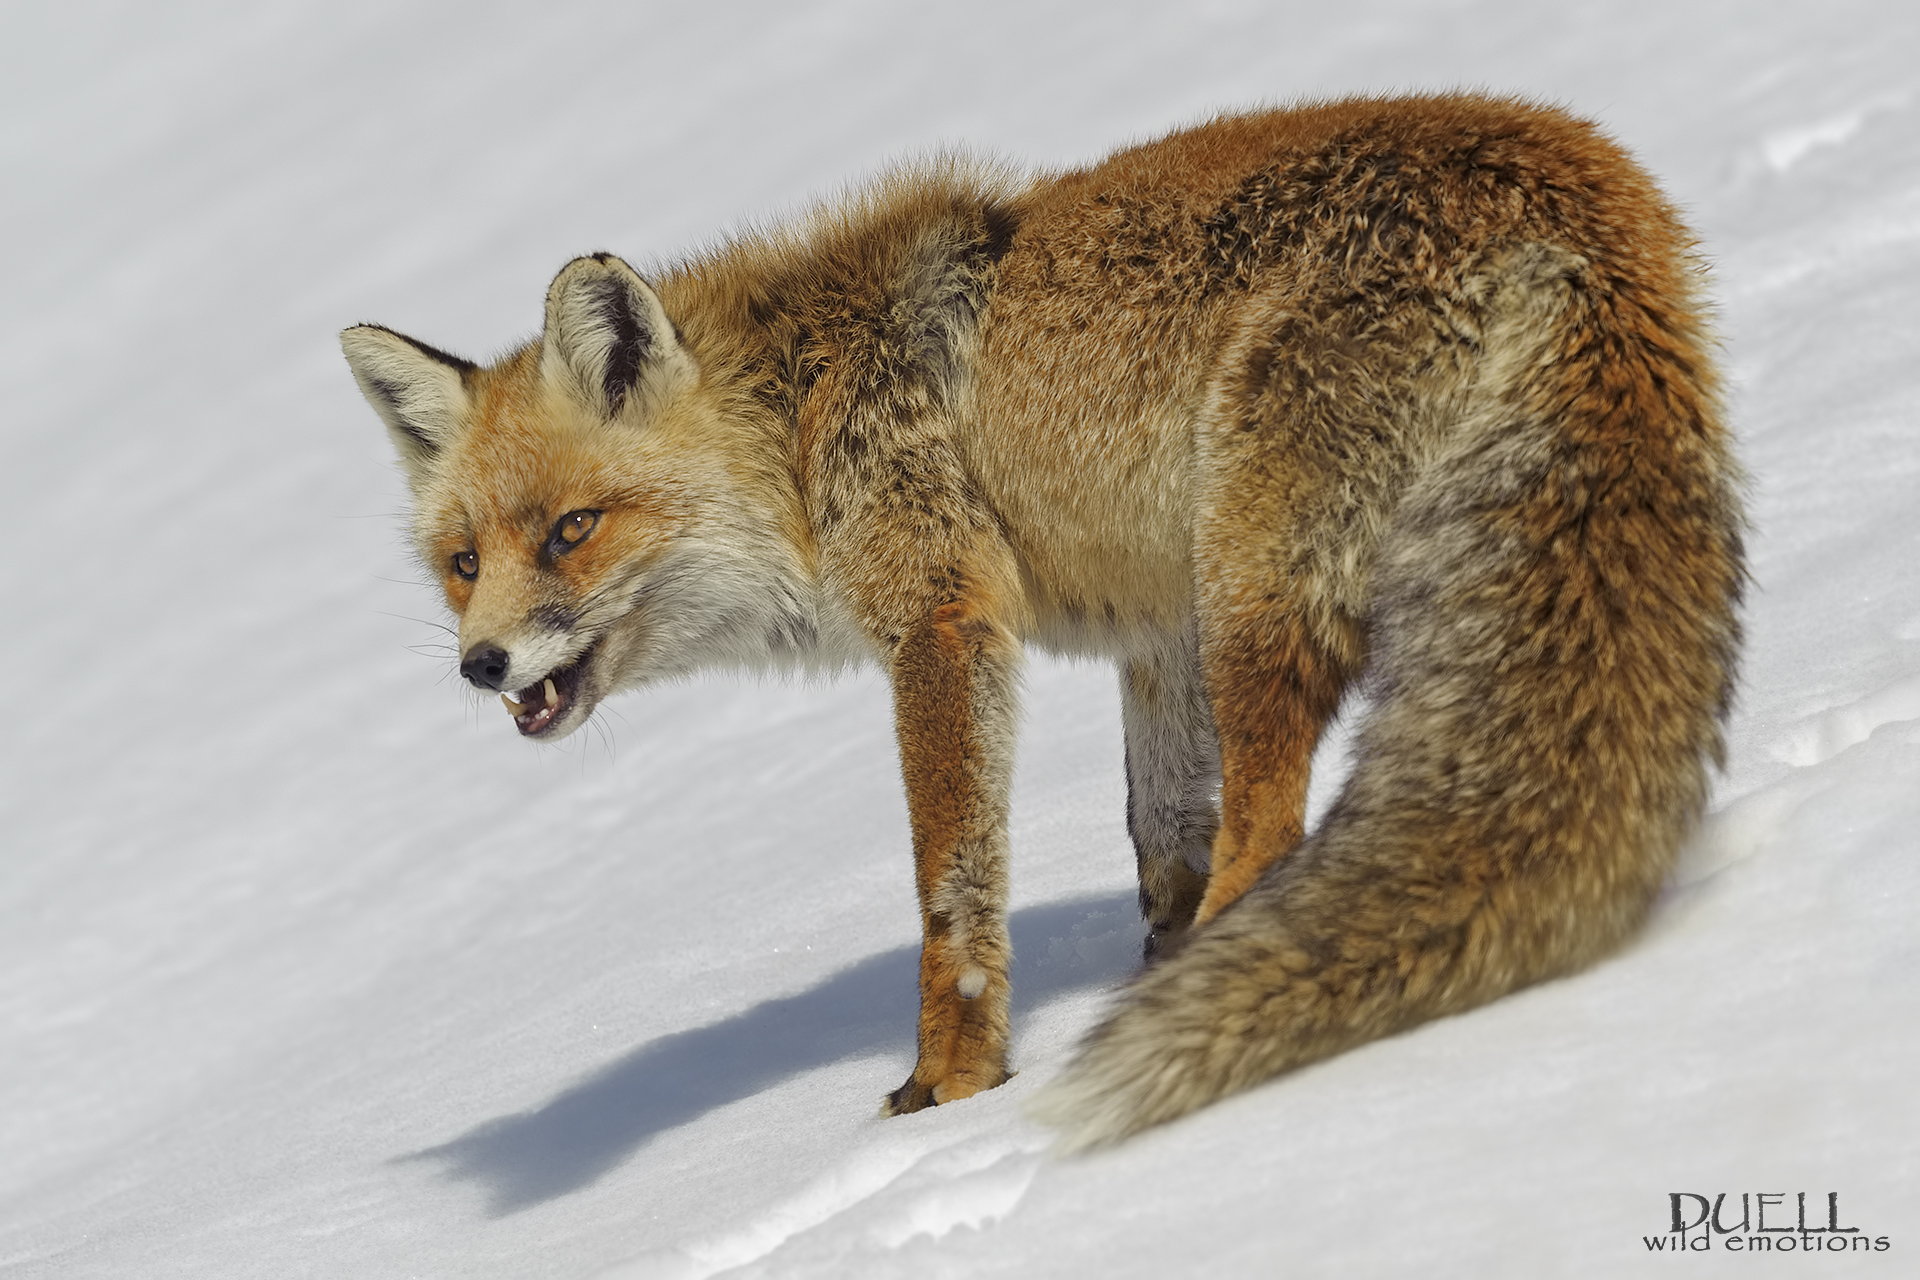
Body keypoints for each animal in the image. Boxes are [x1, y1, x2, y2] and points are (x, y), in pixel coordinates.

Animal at [342, 92, 1744, 1149]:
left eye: (571, 530)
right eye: (463, 562)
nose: (482, 663)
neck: (804, 427)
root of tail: (1569, 181)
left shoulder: (944, 621)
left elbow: (951, 893)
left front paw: (954, 1088)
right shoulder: (1155, 631)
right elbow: (1161, 840)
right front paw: (1146, 973)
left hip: (1258, 594)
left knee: (1275, 823)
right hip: (1244, 598)